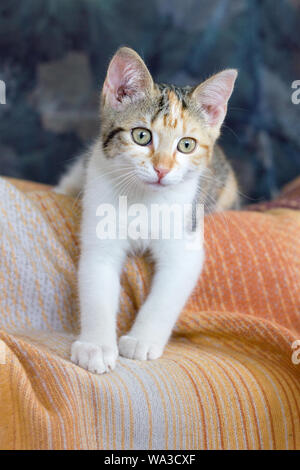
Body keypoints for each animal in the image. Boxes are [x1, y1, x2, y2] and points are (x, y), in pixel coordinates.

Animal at [56, 47, 239, 374]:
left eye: (187, 145)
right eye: (141, 136)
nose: (162, 169)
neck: (144, 199)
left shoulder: (186, 239)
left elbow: (167, 294)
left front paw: (141, 340)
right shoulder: (99, 230)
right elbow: (96, 284)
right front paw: (96, 346)